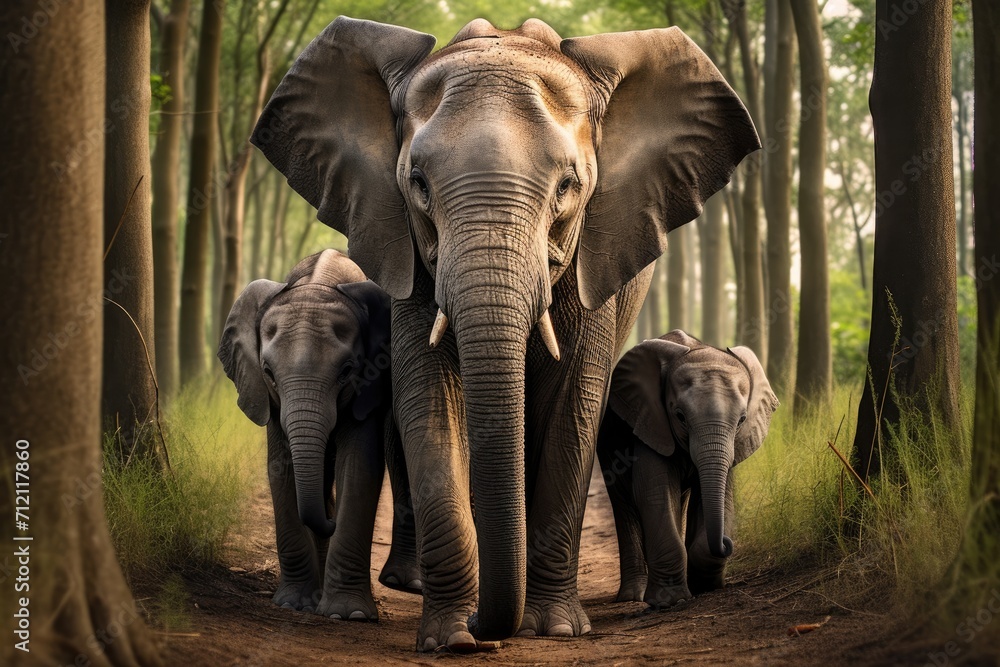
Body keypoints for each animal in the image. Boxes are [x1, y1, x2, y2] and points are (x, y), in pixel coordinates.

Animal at [218, 249, 421, 622]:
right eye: (268, 372)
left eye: (346, 372)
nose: (329, 519)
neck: (316, 284)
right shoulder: (270, 399)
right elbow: (281, 468)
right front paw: (294, 604)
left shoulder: (369, 384)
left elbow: (359, 467)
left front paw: (348, 615)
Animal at [250, 16, 759, 650]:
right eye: (417, 183)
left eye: (568, 186)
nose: (481, 624)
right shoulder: (411, 257)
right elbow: (429, 399)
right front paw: (451, 638)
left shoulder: (596, 258)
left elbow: (573, 403)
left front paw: (555, 629)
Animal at [597, 330, 779, 609]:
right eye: (680, 416)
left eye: (742, 420)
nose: (727, 542)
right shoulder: (651, 423)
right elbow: (654, 493)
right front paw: (669, 601)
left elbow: (719, 498)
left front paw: (704, 586)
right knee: (624, 504)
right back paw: (631, 596)